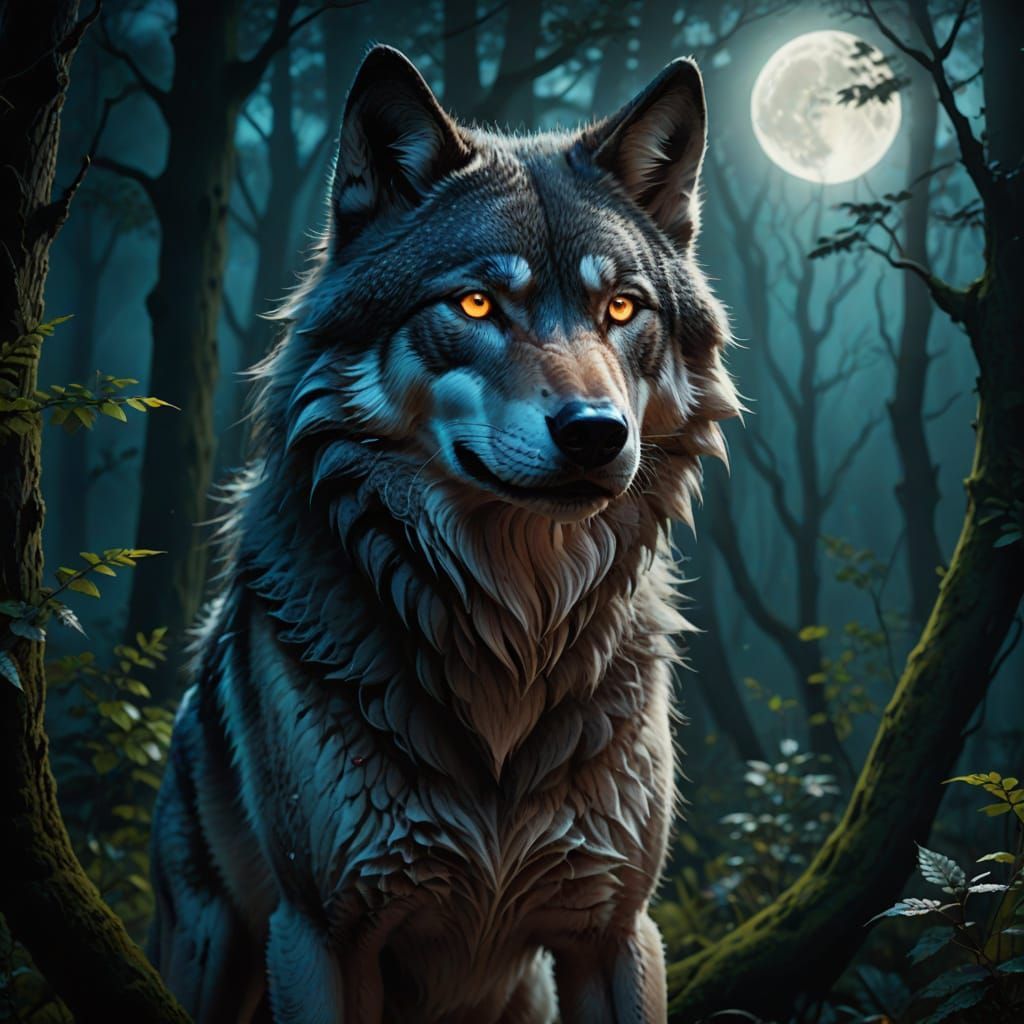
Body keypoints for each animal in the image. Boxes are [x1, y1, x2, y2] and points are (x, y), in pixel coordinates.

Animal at [149, 44, 739, 1024]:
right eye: (474, 306)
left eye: (622, 310)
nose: (596, 432)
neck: (514, 637)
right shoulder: (321, 937)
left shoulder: (615, 931)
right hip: (214, 951)